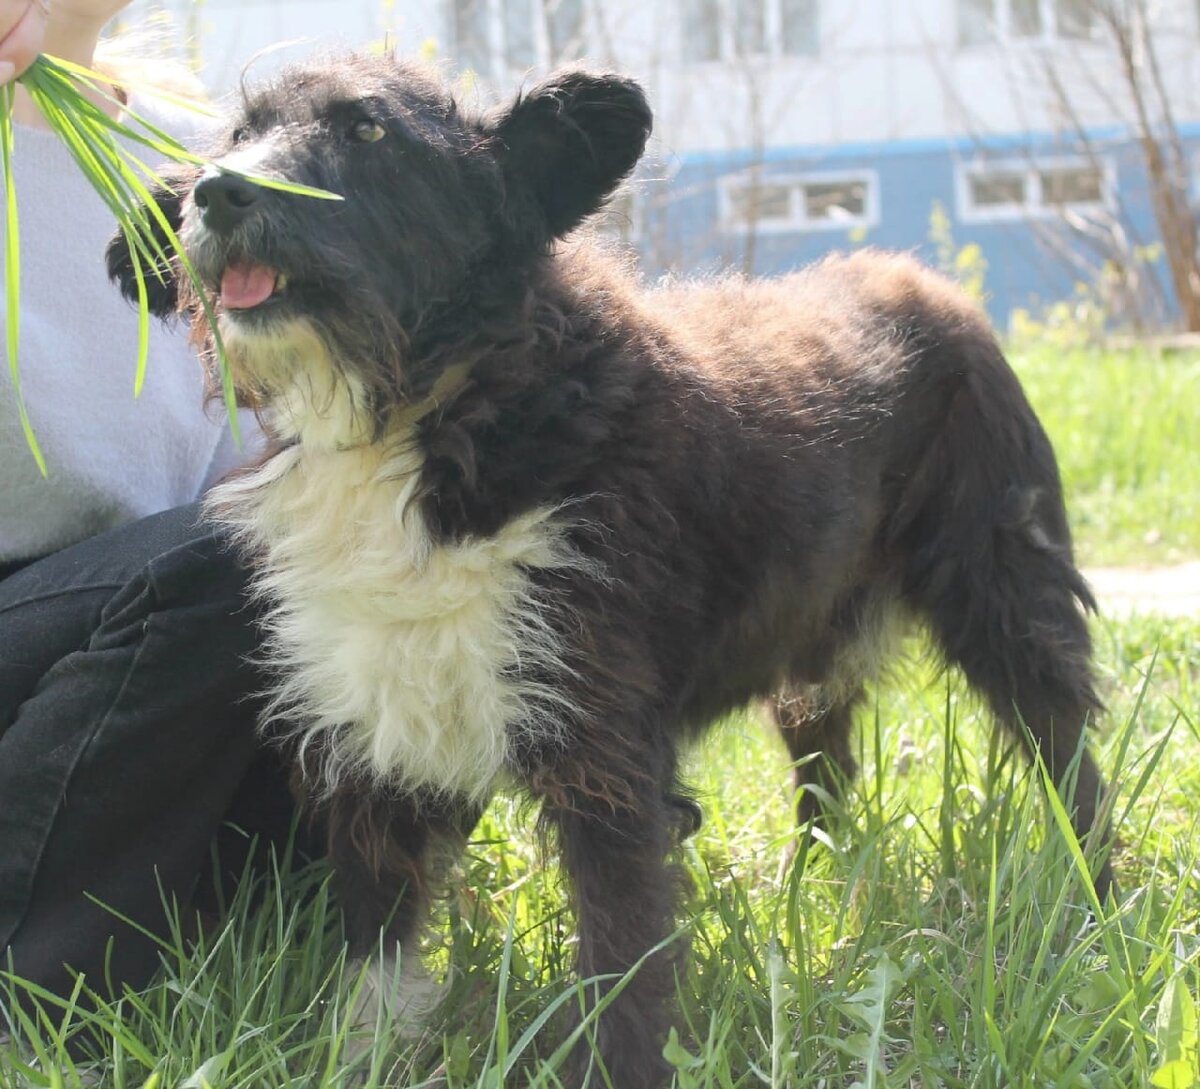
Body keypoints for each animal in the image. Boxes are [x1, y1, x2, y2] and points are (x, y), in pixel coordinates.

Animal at [108, 53, 1108, 1089]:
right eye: (237, 135)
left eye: (368, 132)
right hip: (814, 641)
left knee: (1067, 751)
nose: (217, 195)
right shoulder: (369, 733)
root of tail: (925, 282)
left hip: (1008, 592)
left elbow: (622, 965)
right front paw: (368, 1057)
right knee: (824, 760)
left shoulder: (603, 747)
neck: (425, 418)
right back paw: (813, 892)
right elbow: (378, 952)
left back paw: (1091, 907)